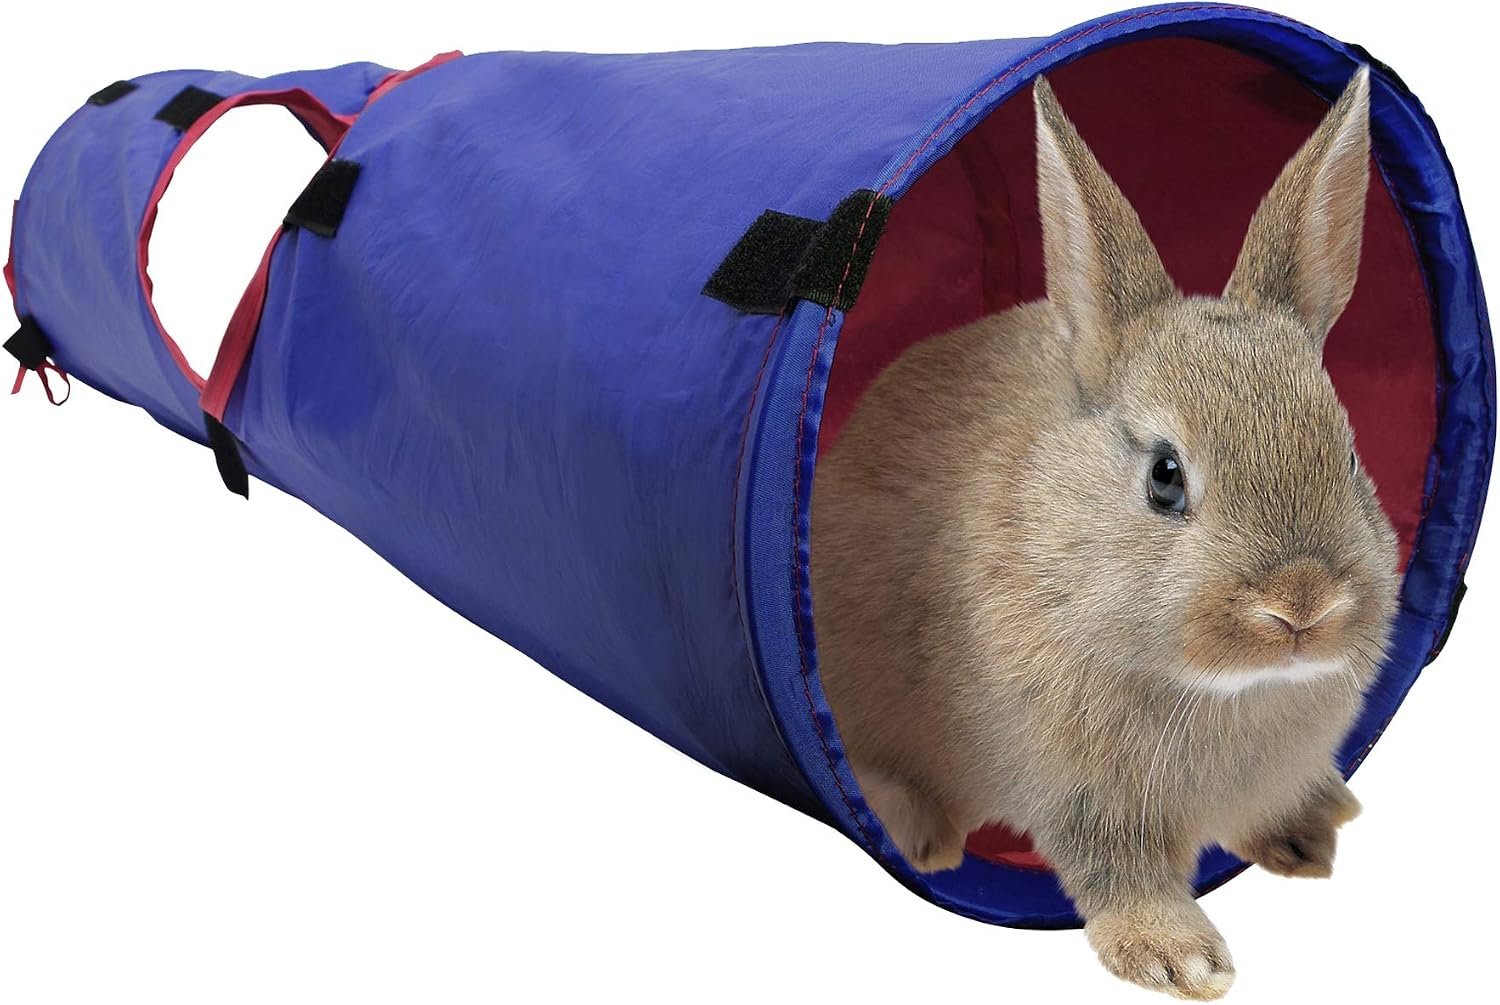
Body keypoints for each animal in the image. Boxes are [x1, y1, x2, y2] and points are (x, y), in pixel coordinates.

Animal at [811, 67, 1395, 1000]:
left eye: (1345, 454)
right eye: (1165, 475)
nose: (1301, 604)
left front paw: (1309, 833)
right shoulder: (1085, 798)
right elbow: (1117, 871)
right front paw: (1183, 959)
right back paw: (922, 835)